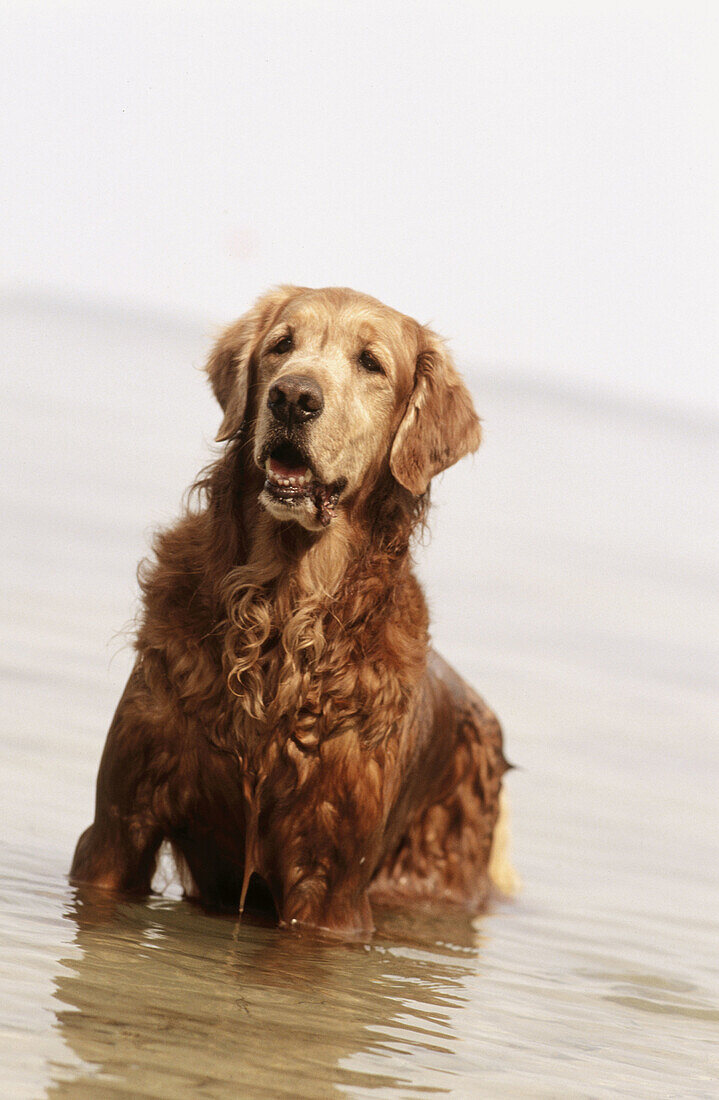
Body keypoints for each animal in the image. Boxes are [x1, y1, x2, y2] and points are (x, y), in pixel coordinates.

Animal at [70, 286, 514, 937]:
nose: (293, 397)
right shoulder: (118, 828)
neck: (280, 605)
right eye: (282, 344)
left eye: (371, 363)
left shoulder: (329, 885)